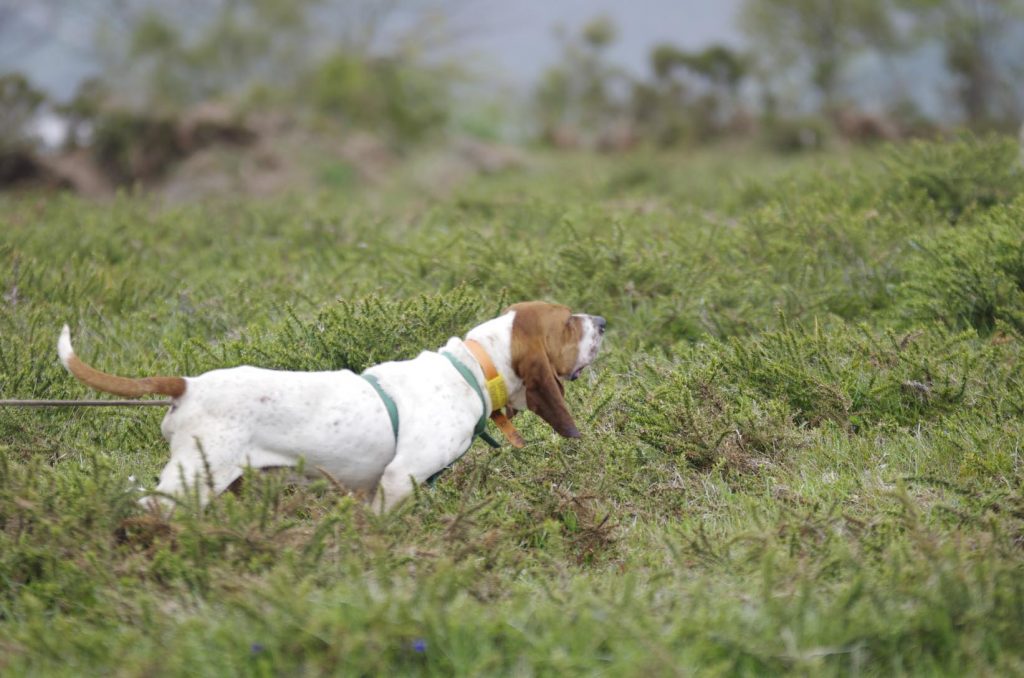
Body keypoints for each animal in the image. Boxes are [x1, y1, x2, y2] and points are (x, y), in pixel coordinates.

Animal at [59, 301, 602, 512]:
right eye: (567, 323)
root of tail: (188, 386)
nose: (602, 322)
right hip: (192, 481)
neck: (470, 369)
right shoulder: (398, 480)